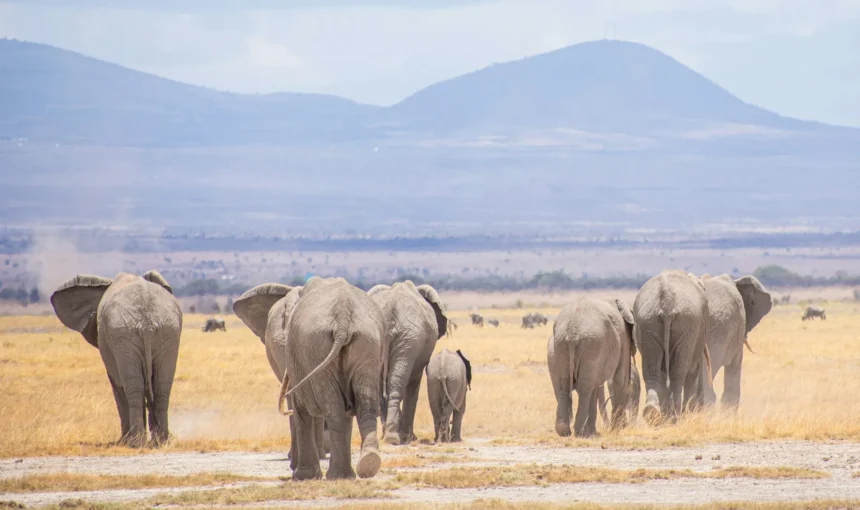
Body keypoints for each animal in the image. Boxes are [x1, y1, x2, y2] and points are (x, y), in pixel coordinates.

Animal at [50, 271, 181, 447]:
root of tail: (146, 322)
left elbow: (117, 385)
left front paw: (124, 441)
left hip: (124, 336)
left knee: (133, 387)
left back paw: (136, 442)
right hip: (168, 333)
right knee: (161, 387)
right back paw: (161, 441)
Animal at [272, 277, 384, 480]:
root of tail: (343, 317)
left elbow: (301, 409)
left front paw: (303, 477)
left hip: (316, 349)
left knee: (334, 409)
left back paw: (337, 475)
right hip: (369, 343)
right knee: (365, 403)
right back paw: (367, 464)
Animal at [367, 281, 449, 445]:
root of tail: (388, 312)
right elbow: (414, 384)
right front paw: (409, 437)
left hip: (388, 338)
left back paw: (387, 436)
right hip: (409, 339)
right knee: (398, 383)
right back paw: (394, 438)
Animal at [547, 297, 636, 437]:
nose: (625, 425)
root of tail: (572, 329)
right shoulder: (623, 338)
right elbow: (620, 378)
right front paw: (618, 429)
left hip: (561, 345)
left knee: (565, 384)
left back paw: (565, 431)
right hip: (592, 344)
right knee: (585, 387)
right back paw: (581, 432)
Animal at [633, 270, 711, 424]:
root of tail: (667, 302)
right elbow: (692, 370)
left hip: (648, 323)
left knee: (652, 370)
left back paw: (652, 413)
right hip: (687, 325)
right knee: (679, 371)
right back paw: (676, 416)